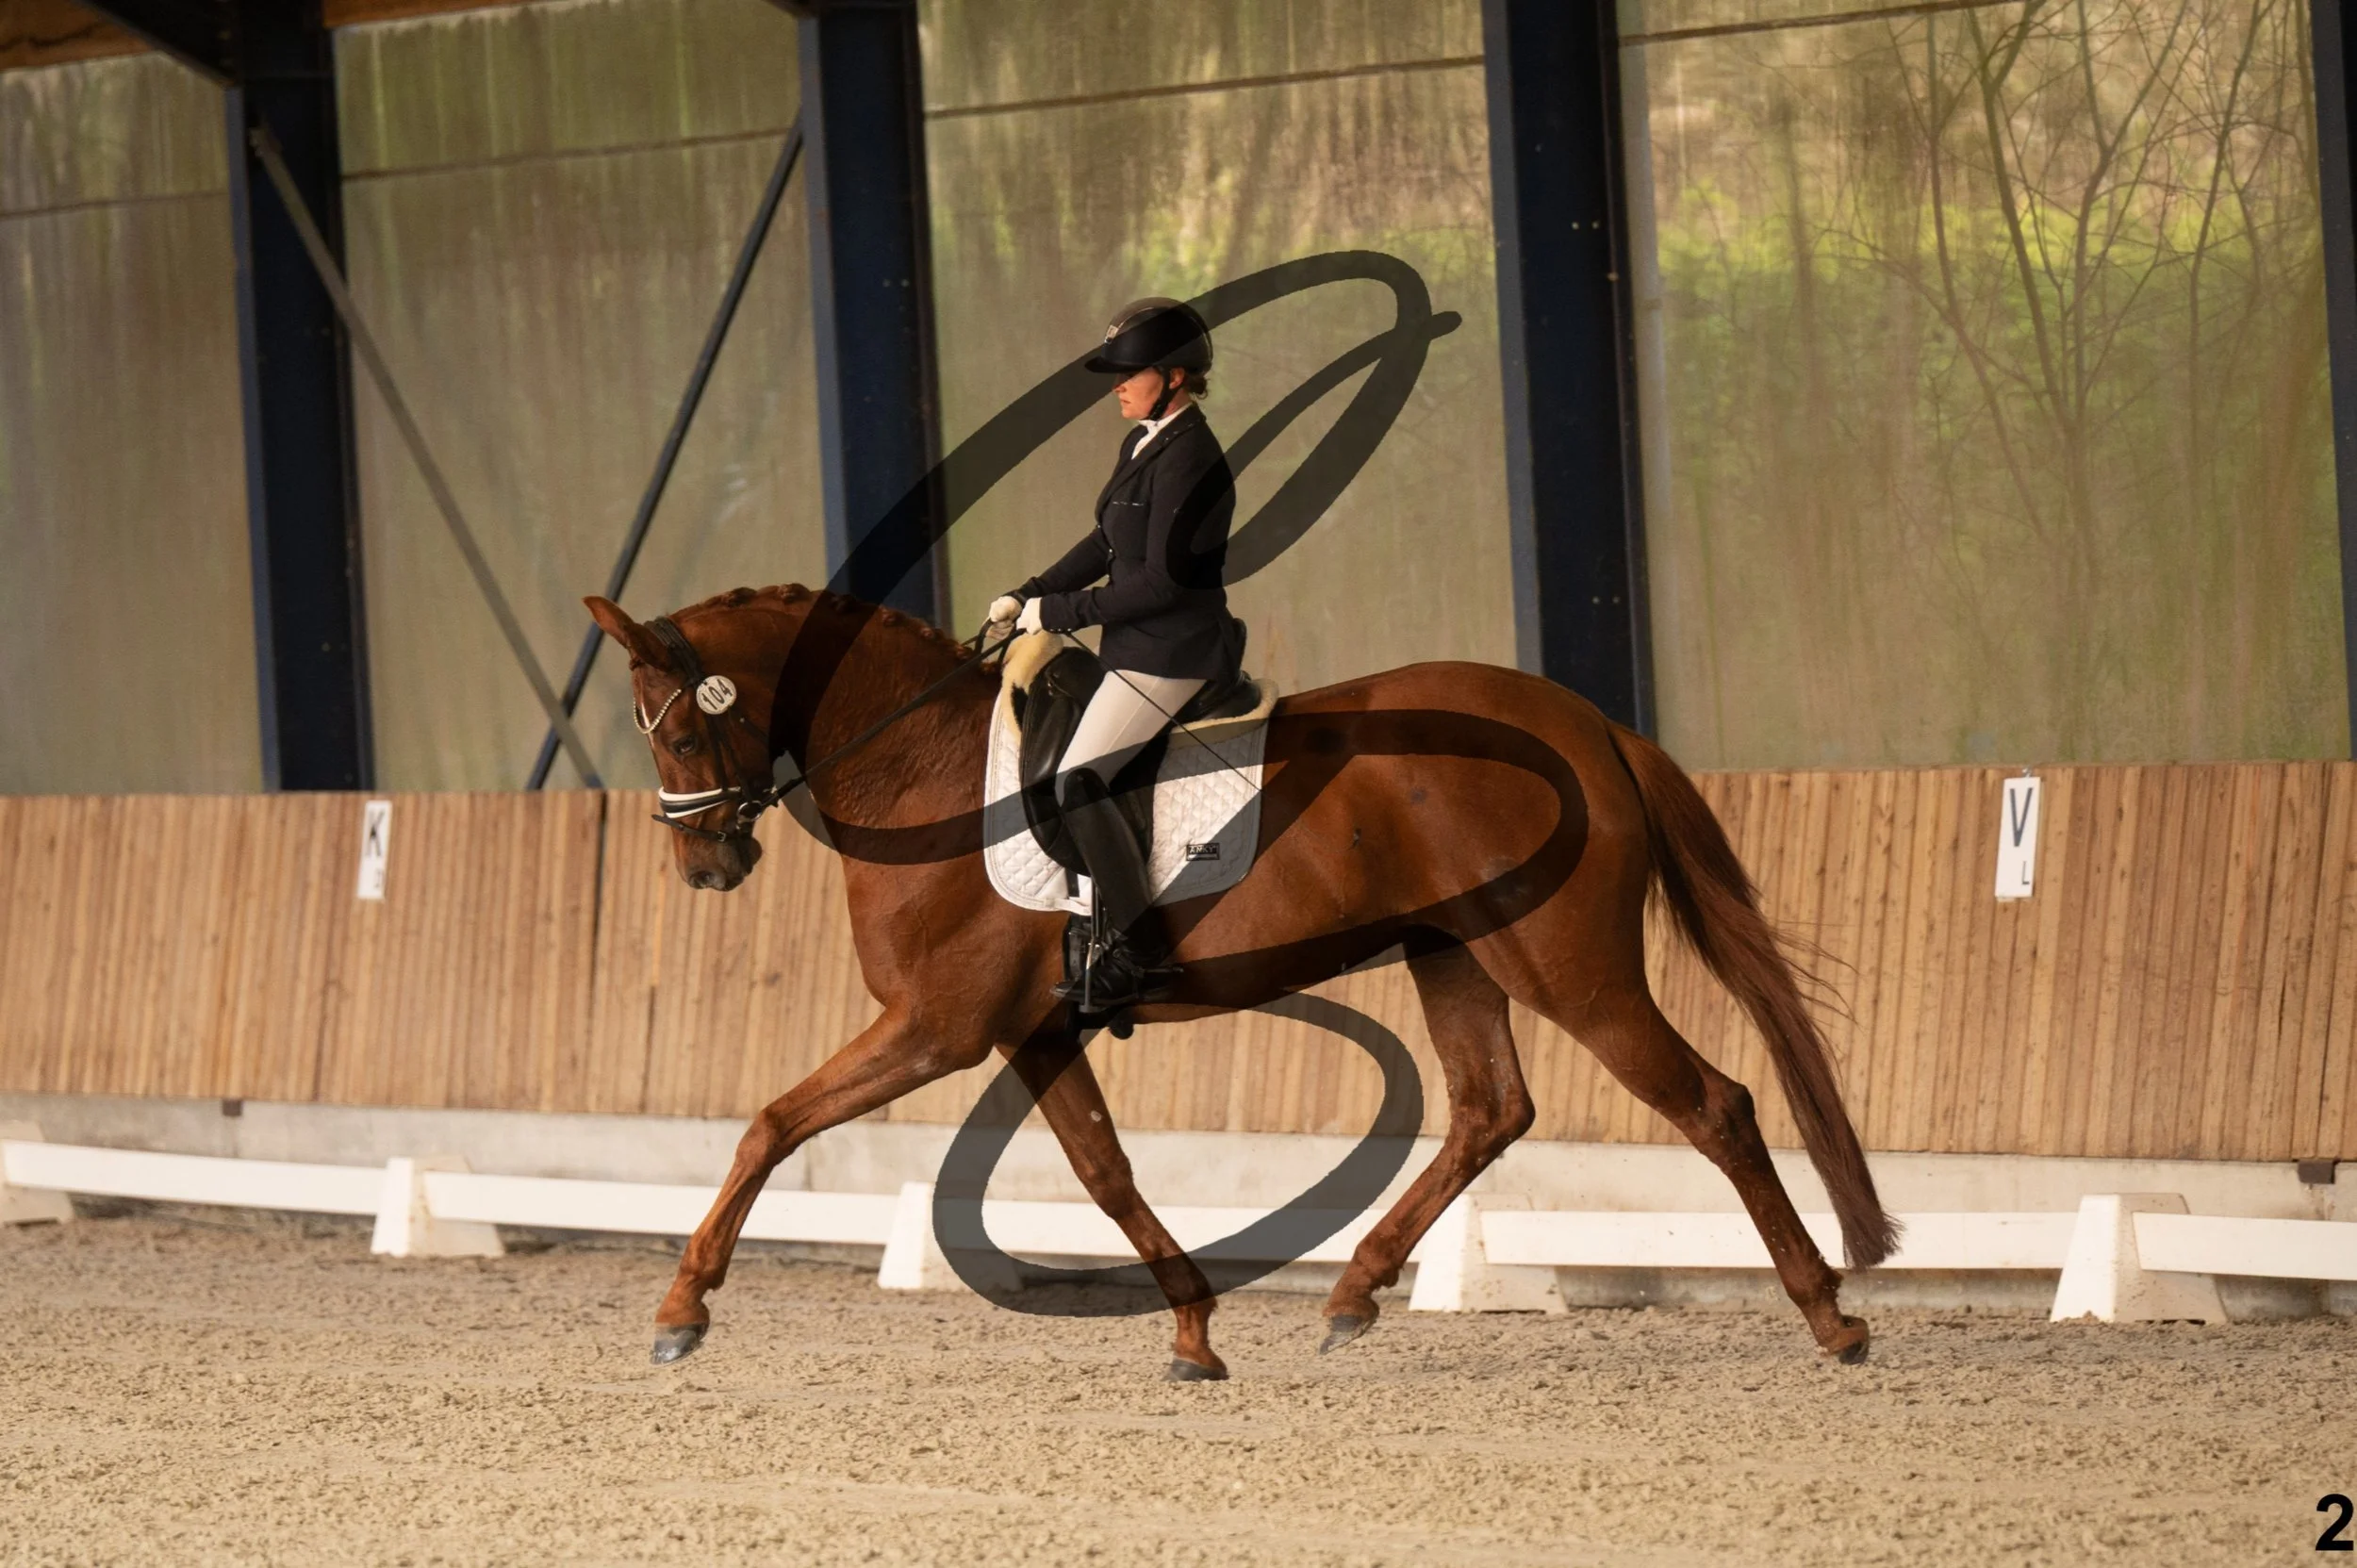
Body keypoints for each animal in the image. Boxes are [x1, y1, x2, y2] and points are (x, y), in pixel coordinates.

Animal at [584, 585, 1899, 1379]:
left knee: (1713, 1103)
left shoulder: (934, 1026)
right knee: (1490, 1108)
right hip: (1454, 952)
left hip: (1569, 965)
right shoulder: (1029, 1032)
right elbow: (1106, 1173)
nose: (707, 865)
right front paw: (1193, 1328)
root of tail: (1589, 725)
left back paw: (1830, 1315)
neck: (928, 769)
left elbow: (770, 1123)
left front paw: (682, 1308)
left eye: (682, 734)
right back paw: (1354, 1292)